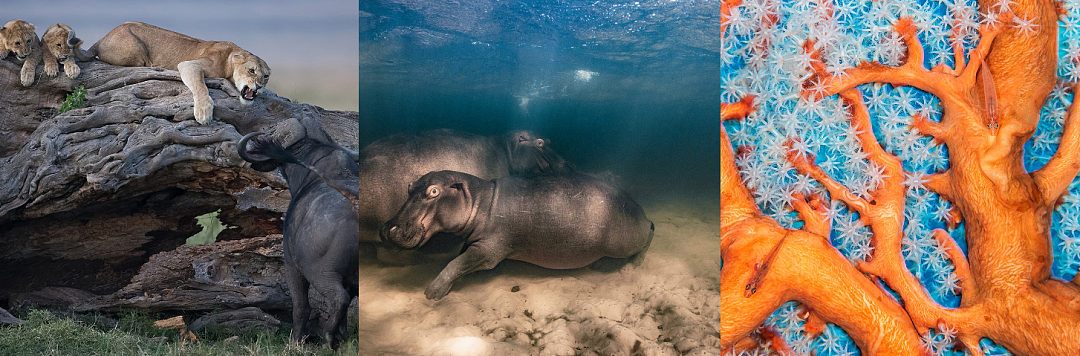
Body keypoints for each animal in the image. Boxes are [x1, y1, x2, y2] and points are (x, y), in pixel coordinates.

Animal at [380, 169, 648, 299]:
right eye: (409, 186)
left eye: (434, 191)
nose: (387, 228)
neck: (481, 200)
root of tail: (639, 208)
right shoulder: (474, 242)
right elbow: (459, 259)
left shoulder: (488, 250)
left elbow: (456, 264)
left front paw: (433, 292)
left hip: (625, 241)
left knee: (649, 233)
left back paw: (634, 265)